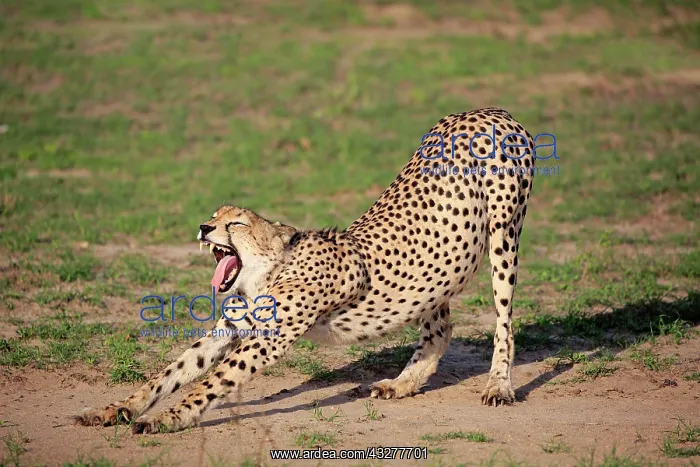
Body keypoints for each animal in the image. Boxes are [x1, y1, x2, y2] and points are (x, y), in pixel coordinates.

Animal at [75, 107, 535, 434]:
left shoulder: (269, 339)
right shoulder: (230, 329)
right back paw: (402, 382)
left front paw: (167, 418)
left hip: (503, 236)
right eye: (214, 215)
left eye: (236, 223)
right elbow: (169, 373)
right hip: (440, 266)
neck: (266, 272)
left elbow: (210, 382)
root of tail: (488, 109)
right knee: (440, 327)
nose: (205, 228)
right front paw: (117, 409)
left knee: (503, 319)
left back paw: (499, 385)